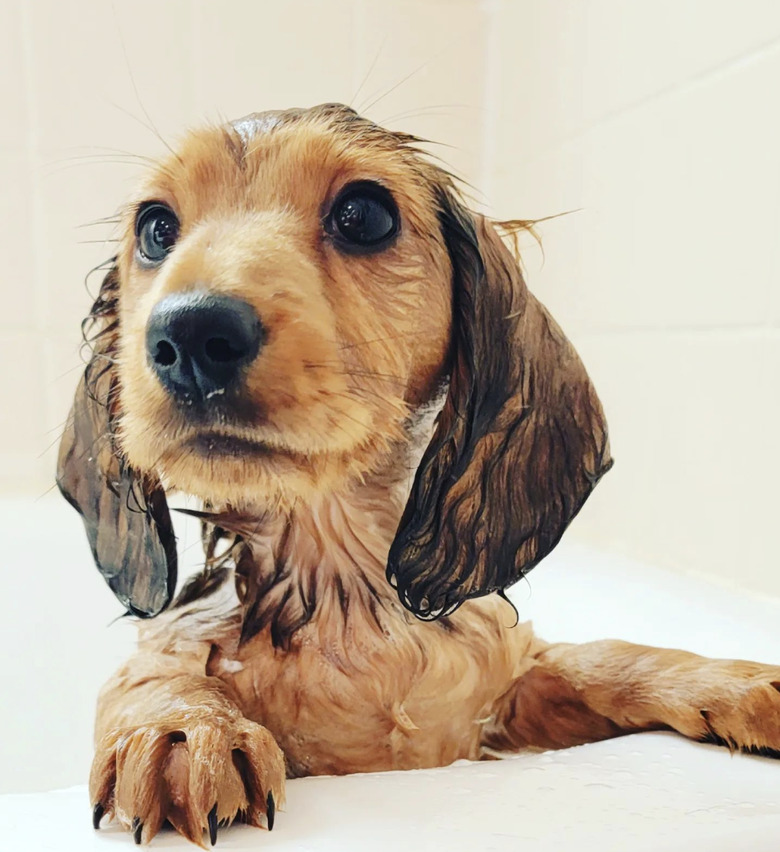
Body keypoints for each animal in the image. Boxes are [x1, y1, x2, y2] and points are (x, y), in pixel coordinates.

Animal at [56, 105, 780, 844]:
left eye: (364, 215)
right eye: (155, 228)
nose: (191, 335)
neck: (340, 588)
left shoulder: (502, 700)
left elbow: (602, 653)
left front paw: (732, 680)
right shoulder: (174, 639)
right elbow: (157, 667)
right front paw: (183, 729)